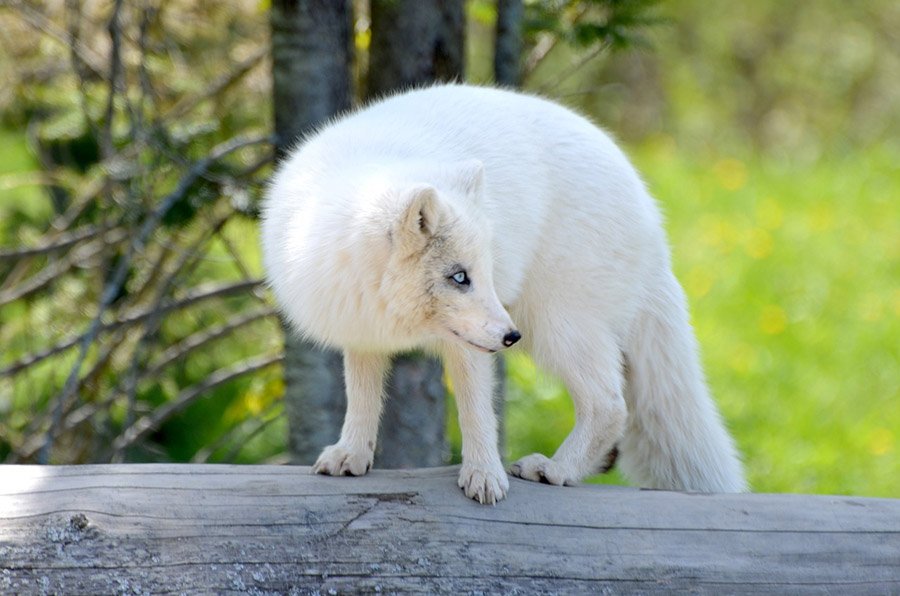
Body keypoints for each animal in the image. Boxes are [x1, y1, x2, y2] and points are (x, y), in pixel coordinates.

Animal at [260, 84, 744, 502]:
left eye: (484, 274)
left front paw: (483, 475)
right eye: (459, 277)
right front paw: (352, 454)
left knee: (610, 404)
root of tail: (653, 218)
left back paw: (556, 470)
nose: (510, 338)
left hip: (555, 325)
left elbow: (477, 412)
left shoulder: (471, 344)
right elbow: (362, 398)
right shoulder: (362, 328)